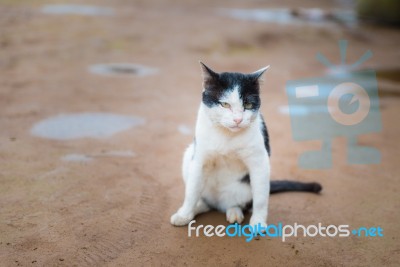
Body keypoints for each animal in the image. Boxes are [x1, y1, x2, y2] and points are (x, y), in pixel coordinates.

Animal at [170, 62, 322, 228]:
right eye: (225, 104)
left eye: (248, 104)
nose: (238, 119)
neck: (227, 136)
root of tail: (218, 203)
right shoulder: (199, 160)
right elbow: (192, 191)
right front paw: (184, 214)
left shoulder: (260, 162)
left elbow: (260, 198)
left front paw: (258, 222)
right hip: (189, 156)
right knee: (205, 201)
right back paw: (197, 208)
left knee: (239, 203)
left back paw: (234, 212)